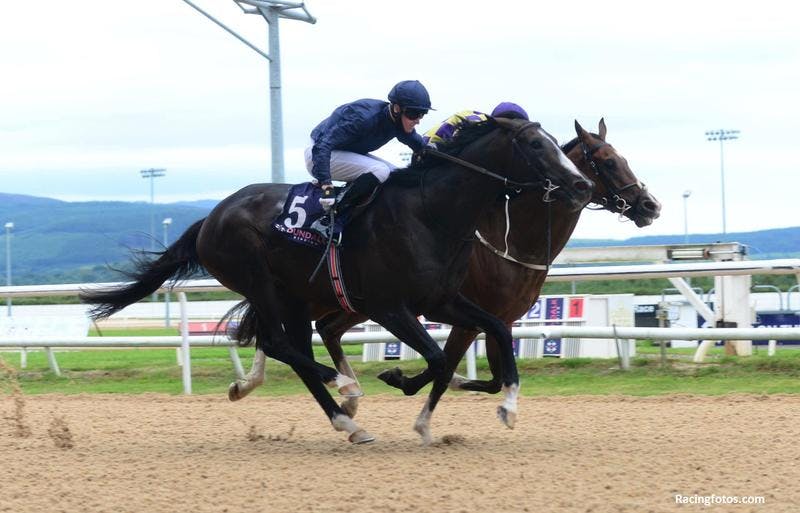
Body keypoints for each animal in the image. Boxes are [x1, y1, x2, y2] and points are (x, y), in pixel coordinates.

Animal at [81, 118, 592, 442]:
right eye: (535, 145)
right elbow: (437, 360)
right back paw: (345, 392)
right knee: (283, 346)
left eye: (555, 142)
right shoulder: (391, 307)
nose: (582, 184)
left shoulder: (442, 300)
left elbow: (496, 332)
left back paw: (344, 415)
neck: (432, 213)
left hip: (291, 296)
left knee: (292, 349)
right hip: (261, 284)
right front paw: (401, 386)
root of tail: (211, 217)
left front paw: (508, 405)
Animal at [310, 119, 660, 412]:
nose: (650, 205)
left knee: (328, 328)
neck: (514, 242)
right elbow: (446, 366)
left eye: (623, 159)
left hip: (363, 302)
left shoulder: (502, 319)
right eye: (609, 162)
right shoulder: (468, 318)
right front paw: (409, 386)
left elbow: (491, 378)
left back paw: (349, 393)